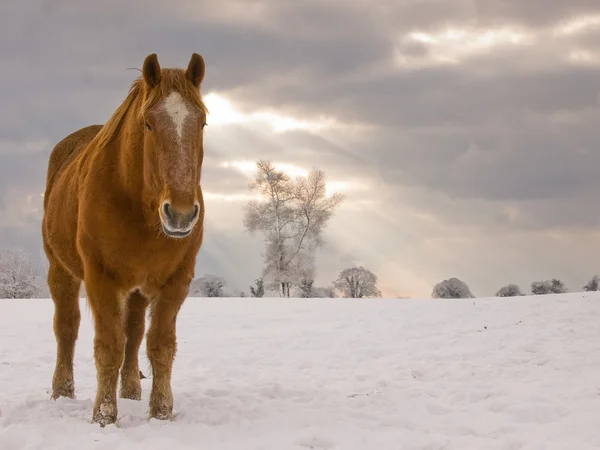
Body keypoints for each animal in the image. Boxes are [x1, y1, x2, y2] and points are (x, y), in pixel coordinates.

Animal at [41, 52, 207, 426]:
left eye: (202, 123)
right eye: (148, 124)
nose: (180, 214)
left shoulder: (176, 280)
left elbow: (159, 344)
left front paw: (161, 412)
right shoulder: (101, 278)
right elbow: (109, 345)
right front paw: (104, 416)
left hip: (137, 289)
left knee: (133, 333)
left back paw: (131, 389)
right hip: (61, 271)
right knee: (66, 328)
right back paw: (62, 391)